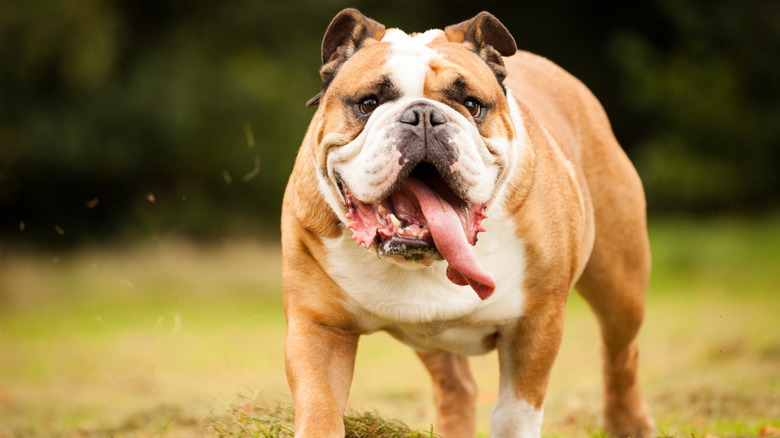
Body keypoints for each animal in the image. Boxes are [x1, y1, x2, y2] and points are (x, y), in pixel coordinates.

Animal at [280, 8, 652, 436]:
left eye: (472, 105)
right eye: (368, 103)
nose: (424, 115)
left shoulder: (536, 325)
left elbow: (515, 414)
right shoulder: (317, 329)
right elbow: (319, 407)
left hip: (620, 285)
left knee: (622, 353)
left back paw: (630, 423)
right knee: (455, 387)